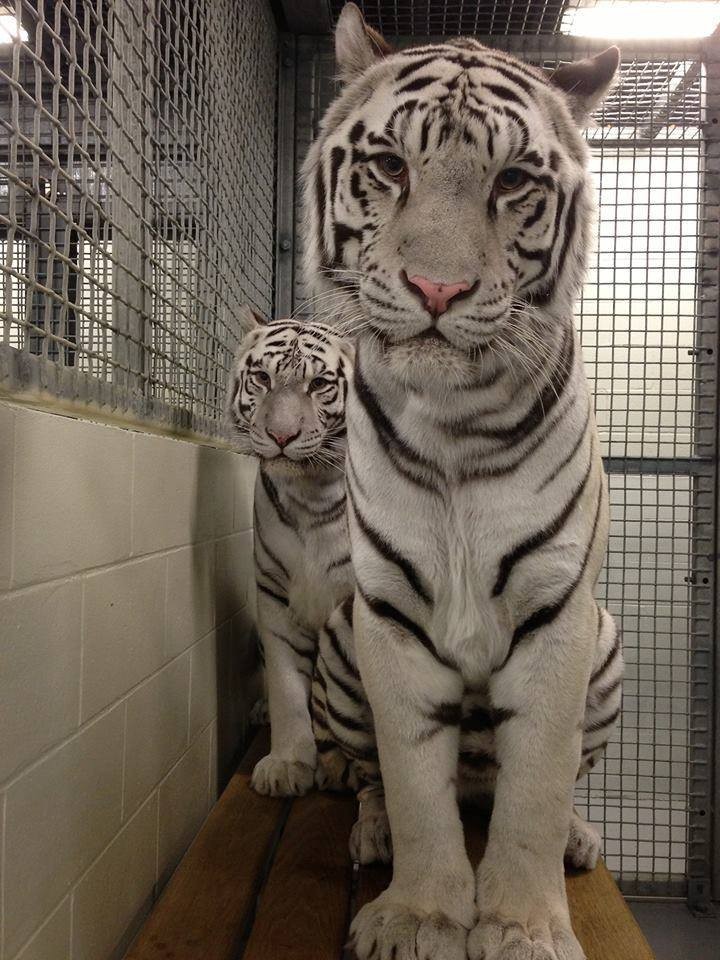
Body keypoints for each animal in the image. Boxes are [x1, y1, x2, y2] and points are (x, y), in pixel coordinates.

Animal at [228, 306, 354, 796]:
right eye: (262, 378)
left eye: (318, 385)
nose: (281, 436)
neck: (311, 495)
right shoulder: (276, 597)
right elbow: (286, 687)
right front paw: (288, 763)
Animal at [302, 7, 624, 960]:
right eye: (389, 166)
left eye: (513, 179)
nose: (437, 289)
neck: (453, 419)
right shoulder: (391, 615)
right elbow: (413, 784)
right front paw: (419, 916)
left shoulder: (559, 612)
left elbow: (536, 791)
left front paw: (522, 928)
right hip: (341, 635)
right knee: (371, 778)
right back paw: (370, 831)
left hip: (608, 644)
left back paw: (580, 840)